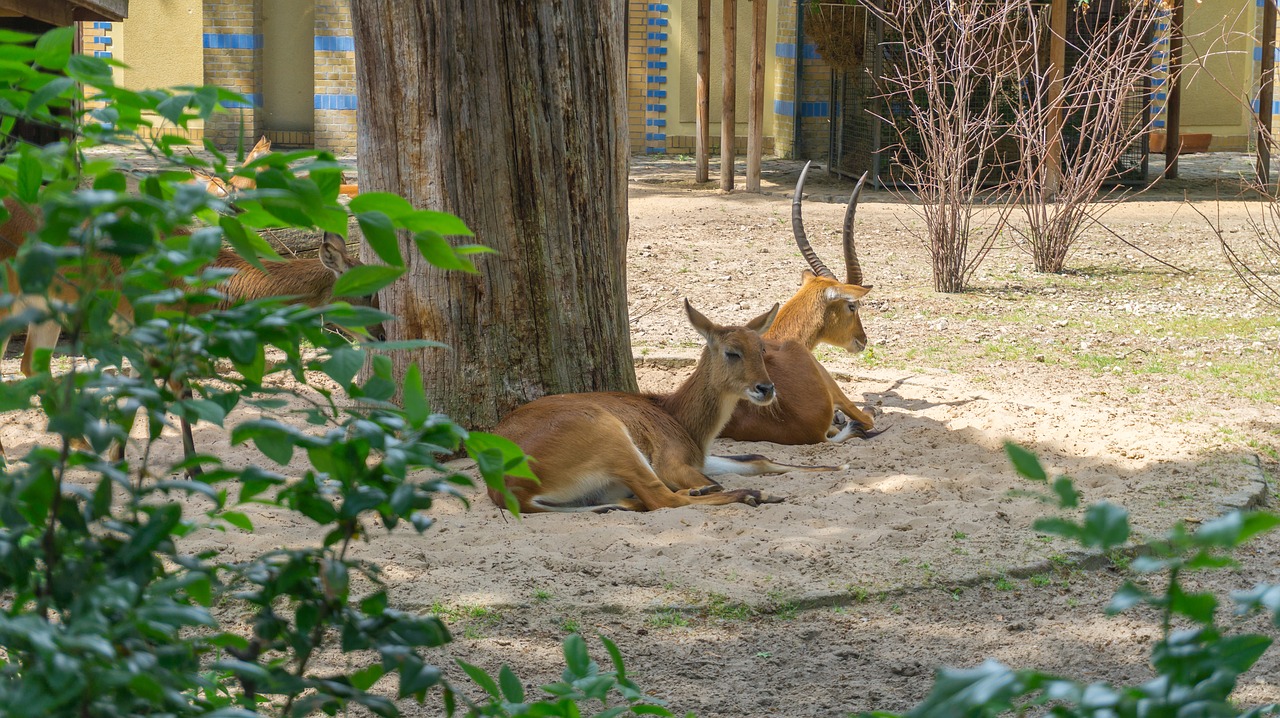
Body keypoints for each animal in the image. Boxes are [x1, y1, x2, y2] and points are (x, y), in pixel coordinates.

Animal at [483, 299, 844, 511]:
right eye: (732, 351)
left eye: (762, 348)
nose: (766, 389)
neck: (675, 415)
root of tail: (509, 489)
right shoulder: (672, 463)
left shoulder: (699, 459)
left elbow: (758, 458)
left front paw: (838, 468)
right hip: (615, 441)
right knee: (662, 498)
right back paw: (753, 495)